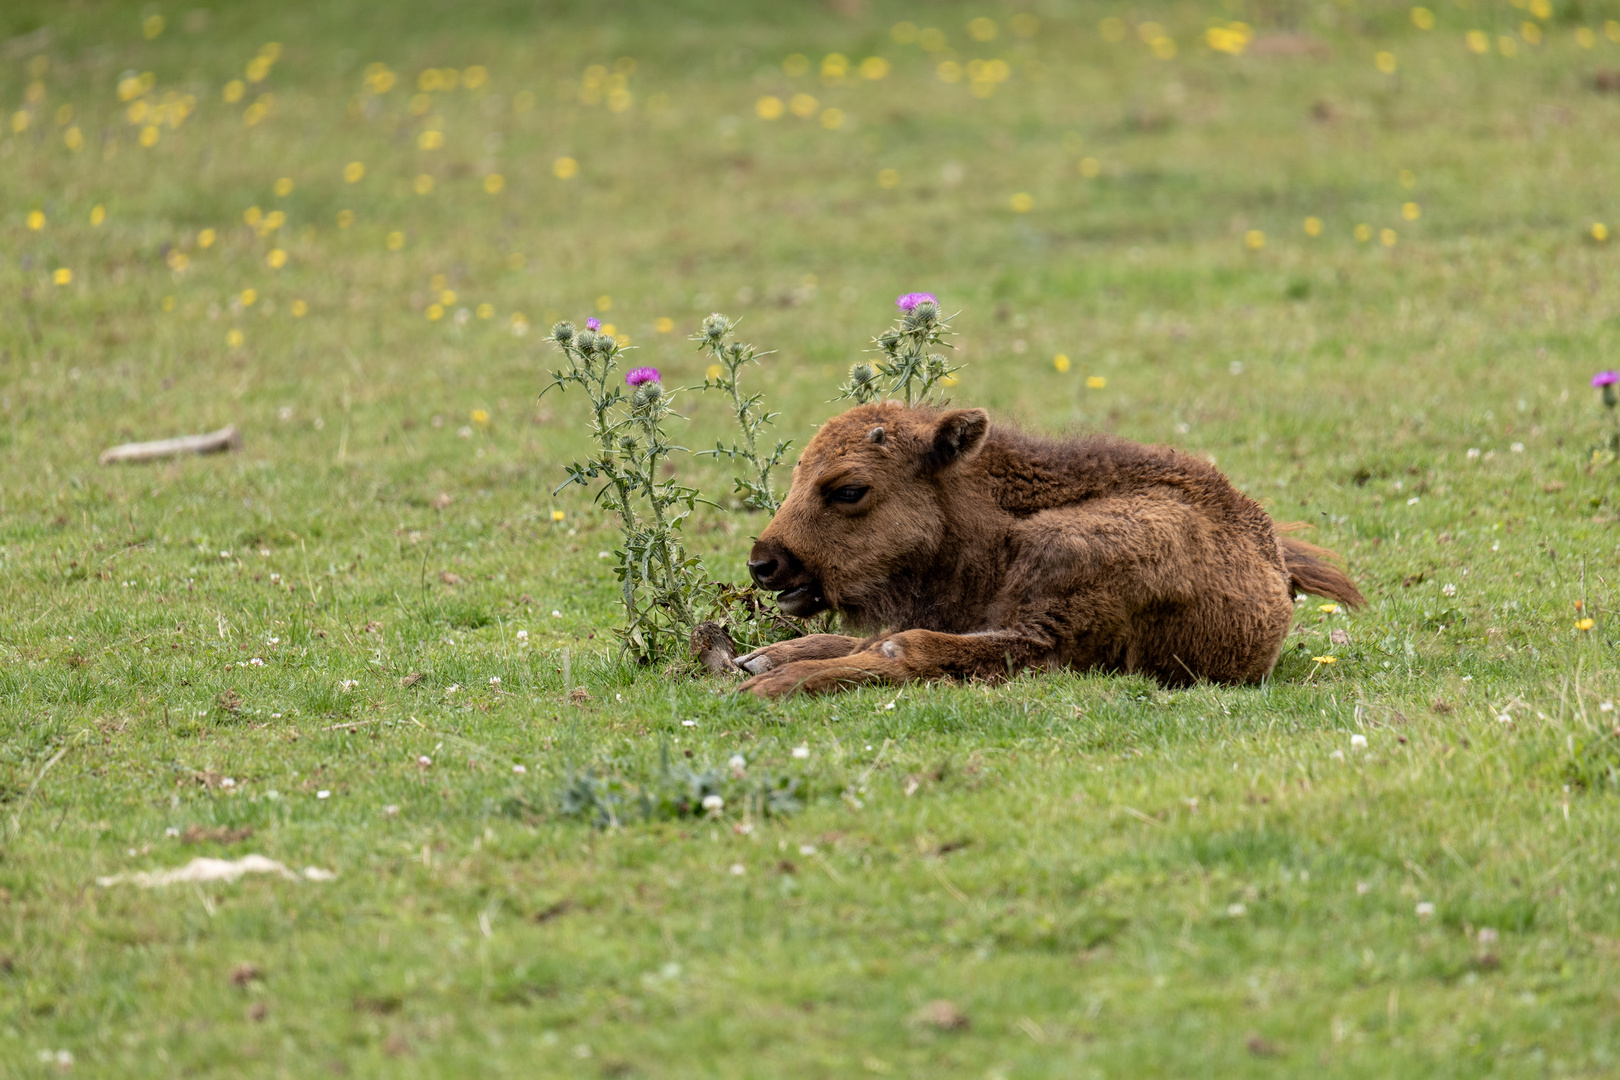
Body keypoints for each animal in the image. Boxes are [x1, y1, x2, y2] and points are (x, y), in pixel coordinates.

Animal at [741, 401, 1360, 696]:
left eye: (849, 489)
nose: (763, 564)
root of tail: (1274, 552)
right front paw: (761, 660)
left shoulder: (1049, 640)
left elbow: (905, 647)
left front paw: (766, 684)